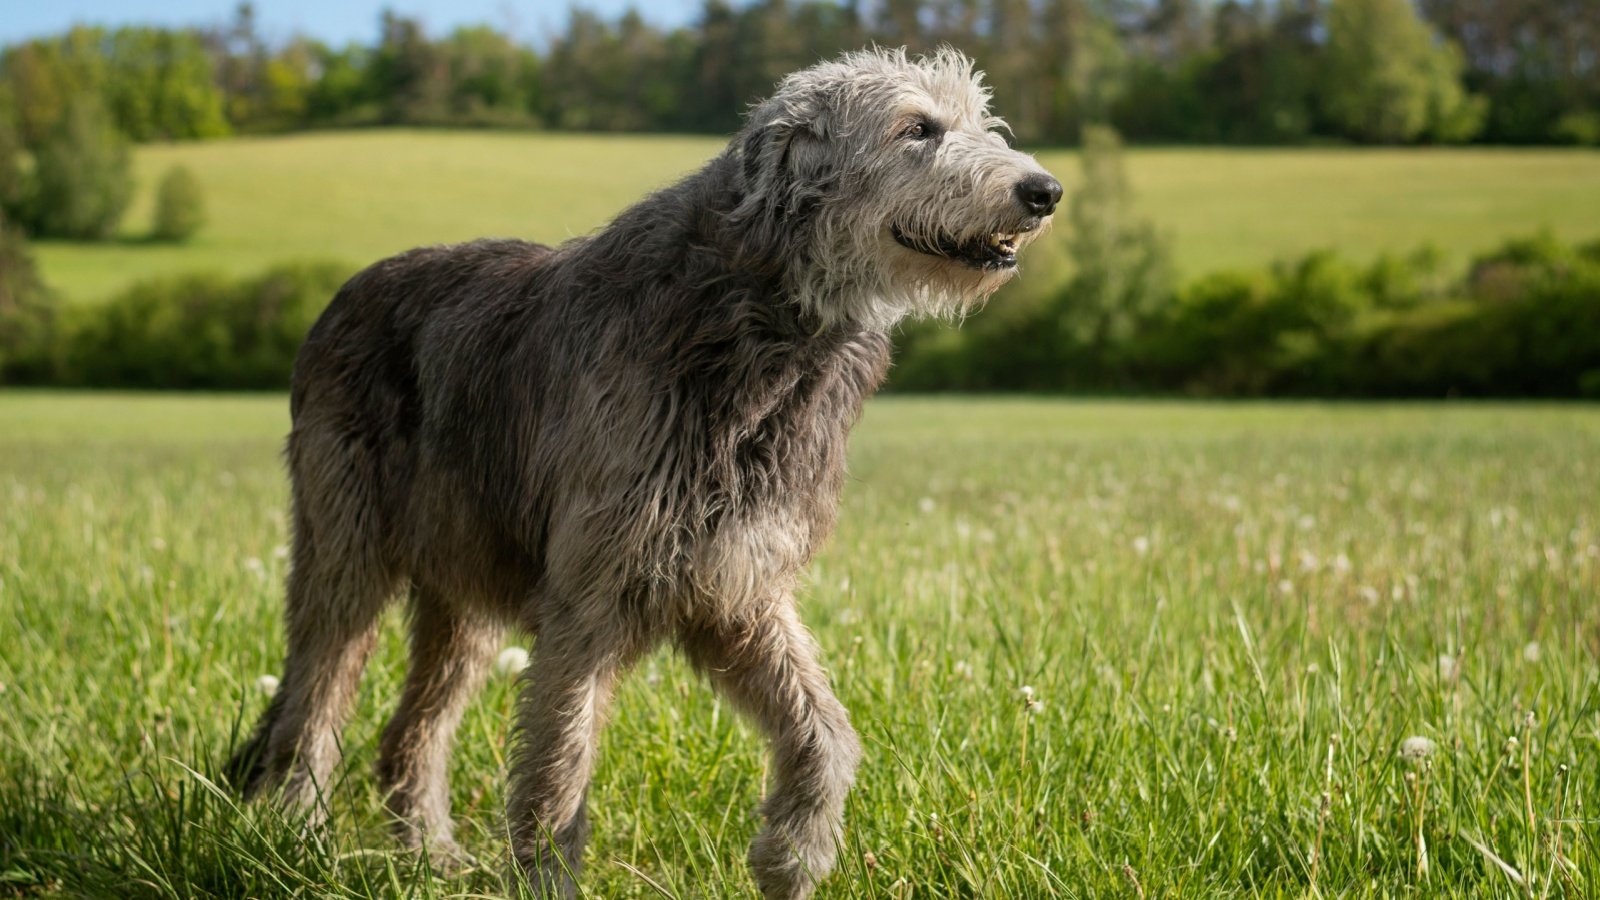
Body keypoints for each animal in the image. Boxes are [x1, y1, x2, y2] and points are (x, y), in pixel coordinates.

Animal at [228, 50, 1062, 896]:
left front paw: (793, 853)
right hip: (348, 543)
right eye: (917, 128)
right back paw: (300, 840)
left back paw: (431, 856)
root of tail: (340, 300)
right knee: (311, 704)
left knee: (408, 732)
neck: (763, 325)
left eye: (981, 121)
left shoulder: (736, 584)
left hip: (467, 578)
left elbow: (825, 730)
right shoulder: (591, 594)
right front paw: (548, 881)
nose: (1045, 191)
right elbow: (559, 770)